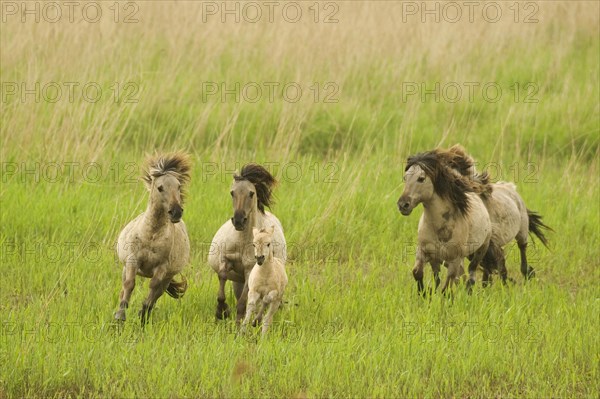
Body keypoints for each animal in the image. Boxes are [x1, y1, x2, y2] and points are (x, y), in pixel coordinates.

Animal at [116, 152, 191, 324]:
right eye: (160, 188)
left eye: (178, 186)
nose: (176, 212)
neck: (151, 236)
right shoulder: (132, 260)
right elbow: (129, 284)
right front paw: (120, 316)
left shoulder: (162, 268)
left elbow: (152, 288)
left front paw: (142, 315)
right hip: (125, 269)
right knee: (123, 288)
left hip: (167, 278)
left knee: (157, 293)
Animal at [209, 164, 286, 324]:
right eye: (232, 192)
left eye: (251, 193)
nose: (239, 221)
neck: (242, 242)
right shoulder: (225, 260)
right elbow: (222, 278)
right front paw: (221, 312)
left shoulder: (249, 270)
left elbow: (242, 302)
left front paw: (235, 320)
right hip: (237, 280)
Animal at [398, 151, 492, 294]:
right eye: (405, 177)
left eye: (421, 178)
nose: (403, 205)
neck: (440, 228)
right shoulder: (424, 252)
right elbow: (418, 273)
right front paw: (424, 294)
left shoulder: (454, 260)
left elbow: (446, 288)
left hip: (481, 249)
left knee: (470, 276)